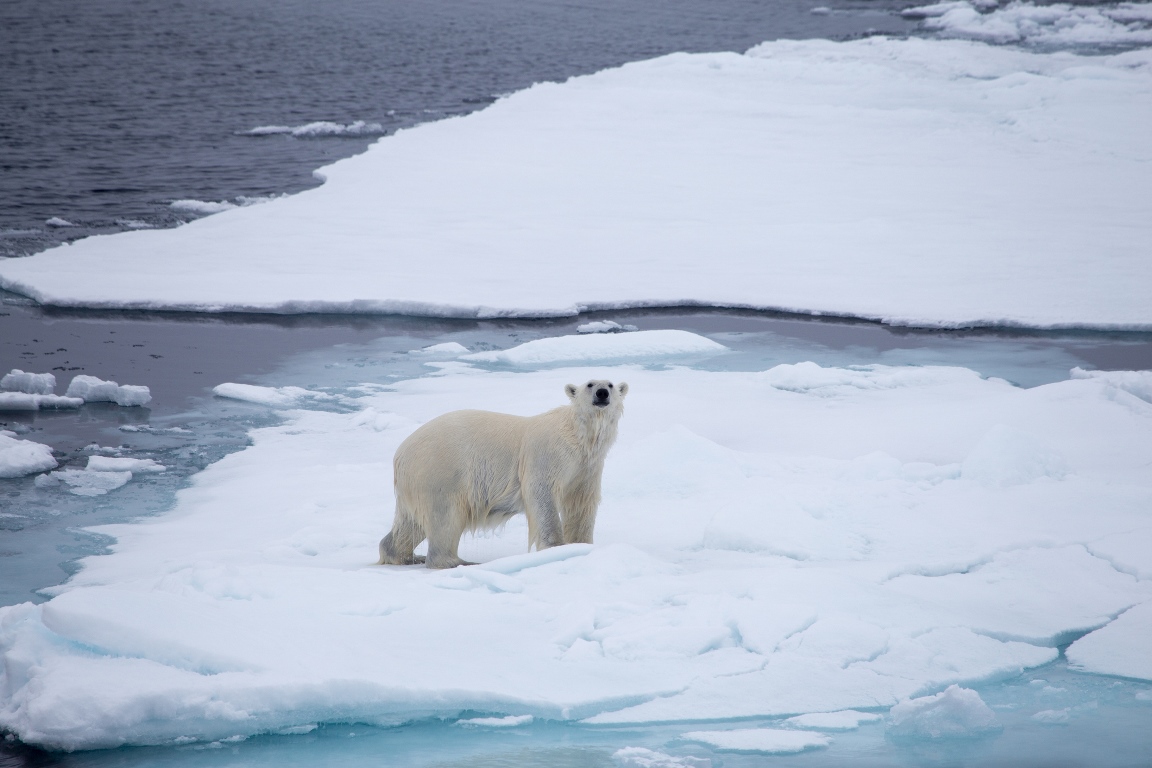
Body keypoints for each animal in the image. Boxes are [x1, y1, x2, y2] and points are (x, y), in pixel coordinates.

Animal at [380, 379, 631, 568]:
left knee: (411, 523)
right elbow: (542, 496)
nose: (602, 393)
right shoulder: (546, 455)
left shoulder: (586, 468)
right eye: (590, 384)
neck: (578, 437)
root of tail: (400, 453)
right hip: (441, 471)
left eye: (610, 384)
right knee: (446, 516)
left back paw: (404, 555)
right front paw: (555, 549)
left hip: (417, 481)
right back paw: (458, 561)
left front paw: (581, 546)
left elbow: (581, 503)